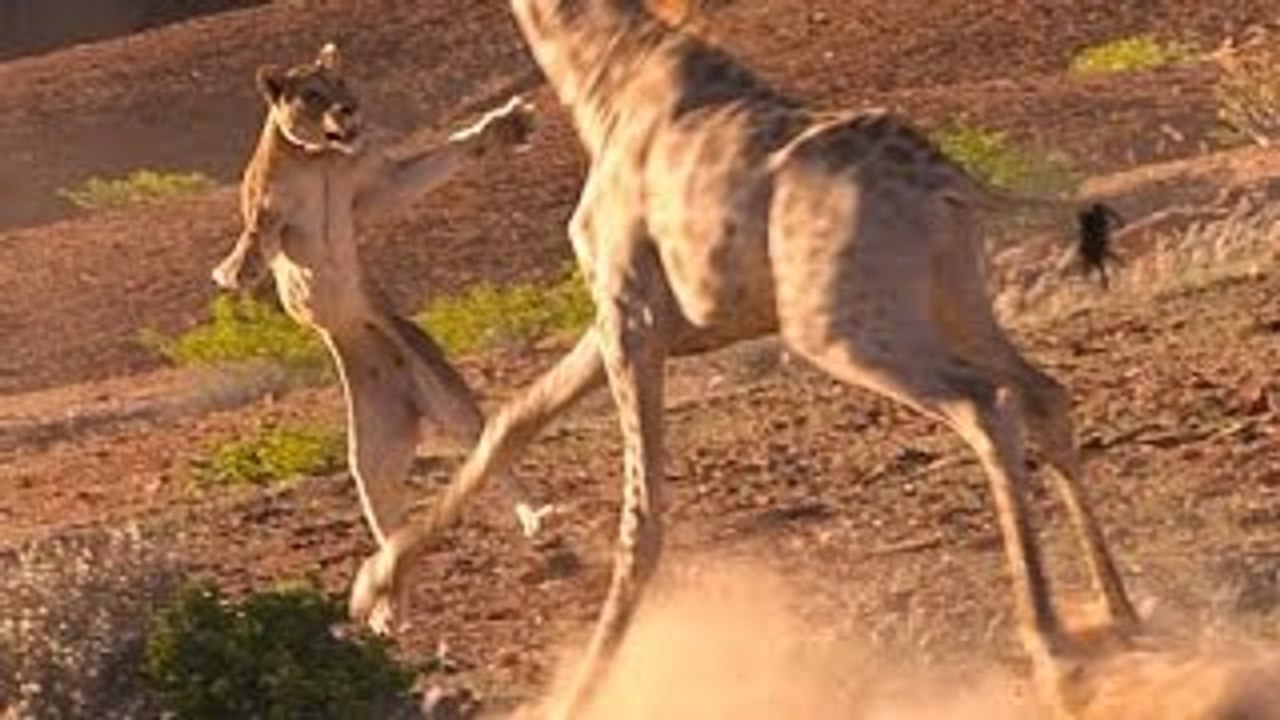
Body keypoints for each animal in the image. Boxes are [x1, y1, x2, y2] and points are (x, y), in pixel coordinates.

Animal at [350, 2, 1137, 715]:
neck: (603, 86)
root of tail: (948, 180)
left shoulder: (628, 312)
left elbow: (641, 517)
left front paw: (577, 694)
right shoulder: (624, 317)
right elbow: (509, 422)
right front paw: (373, 587)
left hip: (840, 325)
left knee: (985, 407)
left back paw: (1054, 652)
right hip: (956, 295)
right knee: (1044, 395)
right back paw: (1119, 616)